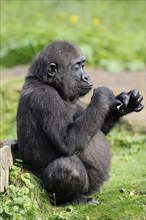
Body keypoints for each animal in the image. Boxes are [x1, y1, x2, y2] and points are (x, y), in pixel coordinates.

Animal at [16, 40, 143, 205]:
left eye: (83, 65)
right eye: (77, 67)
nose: (87, 77)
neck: (45, 81)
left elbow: (97, 128)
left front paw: (125, 104)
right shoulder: (45, 97)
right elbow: (68, 140)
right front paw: (103, 96)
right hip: (46, 192)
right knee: (68, 167)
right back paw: (72, 200)